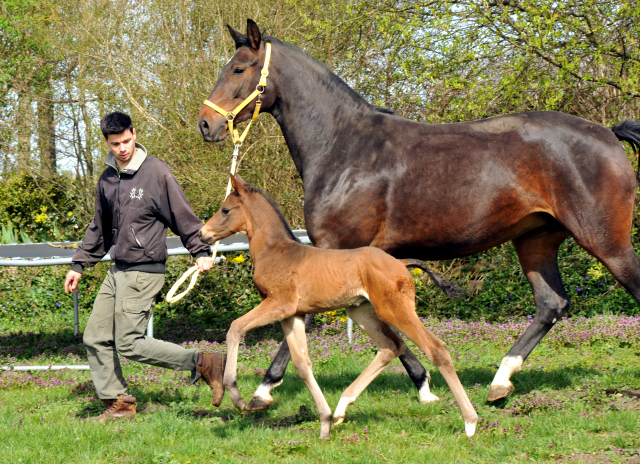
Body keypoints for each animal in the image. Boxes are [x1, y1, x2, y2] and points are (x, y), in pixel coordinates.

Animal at [201, 174, 480, 438]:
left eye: (225, 210)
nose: (203, 234)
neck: (276, 252)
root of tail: (401, 263)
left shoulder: (278, 304)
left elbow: (235, 328)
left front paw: (236, 397)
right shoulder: (292, 315)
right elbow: (302, 364)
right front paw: (324, 422)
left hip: (395, 310)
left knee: (436, 349)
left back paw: (470, 422)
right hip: (361, 311)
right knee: (390, 347)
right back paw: (340, 408)